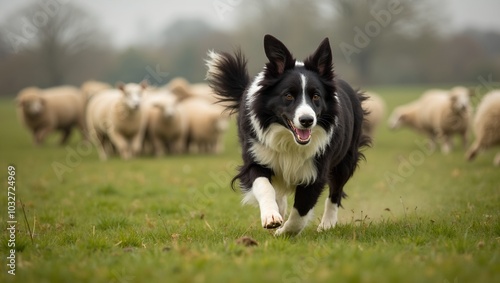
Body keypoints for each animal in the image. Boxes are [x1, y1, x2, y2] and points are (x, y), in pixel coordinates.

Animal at [205, 34, 370, 236]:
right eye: (288, 96)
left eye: (316, 96)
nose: (307, 120)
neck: (289, 139)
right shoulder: (255, 158)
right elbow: (264, 186)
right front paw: (271, 217)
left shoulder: (316, 171)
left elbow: (301, 212)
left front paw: (283, 232)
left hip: (346, 160)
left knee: (336, 192)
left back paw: (327, 224)